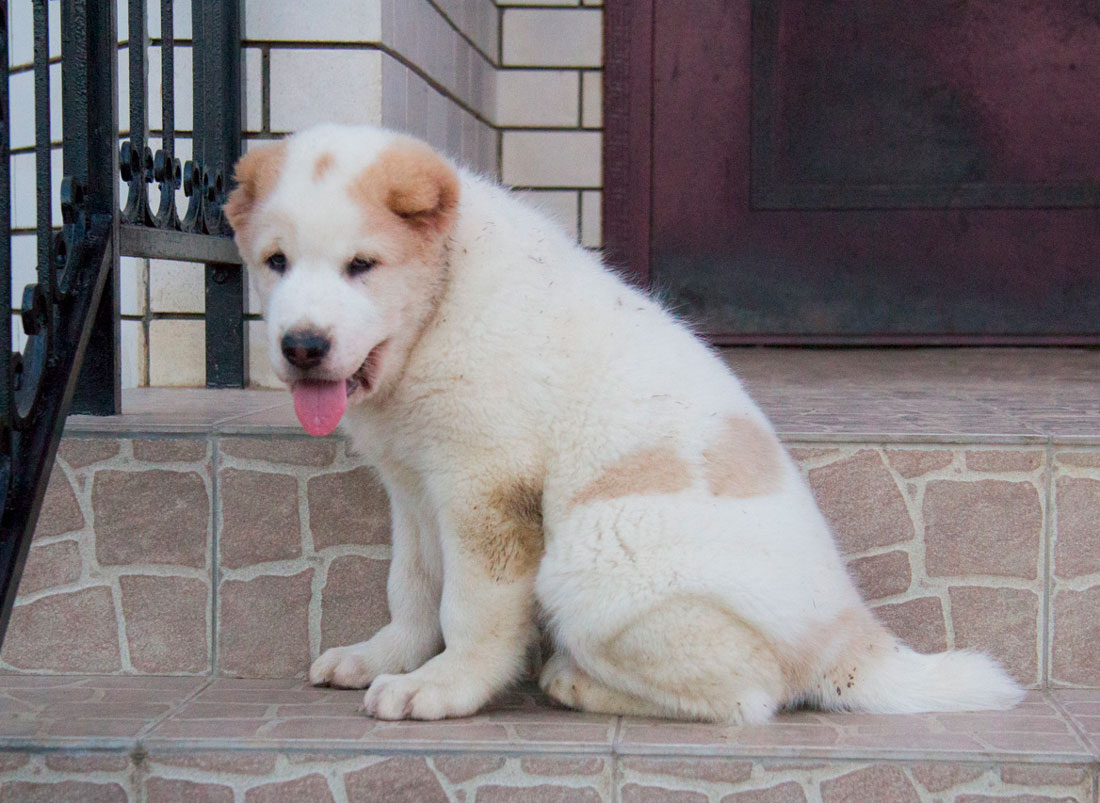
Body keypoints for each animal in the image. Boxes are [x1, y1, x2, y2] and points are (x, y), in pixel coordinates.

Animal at [223, 123, 1020, 721]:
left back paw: (576, 682)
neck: (440, 304)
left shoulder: (485, 488)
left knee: (751, 697)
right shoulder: (415, 487)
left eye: (362, 265)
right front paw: (385, 655)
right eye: (276, 262)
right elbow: (413, 585)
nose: (302, 346)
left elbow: (470, 607)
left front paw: (444, 686)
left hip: (589, 563)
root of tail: (851, 637)